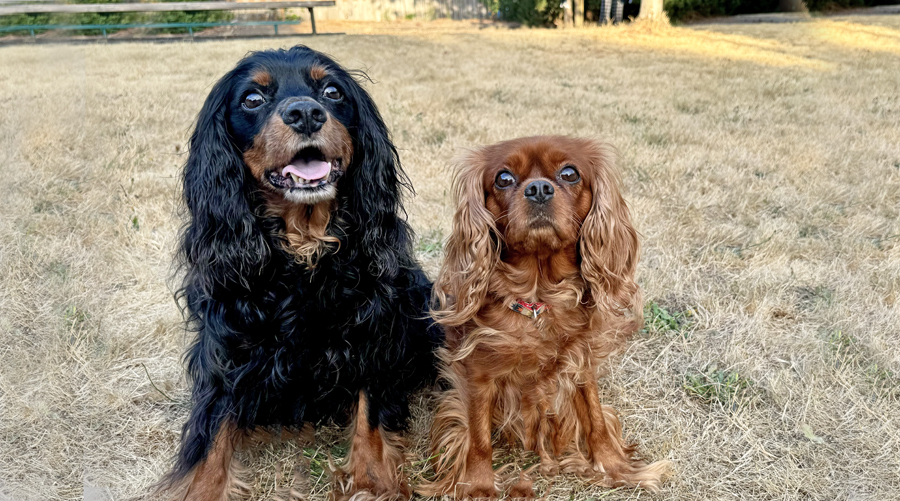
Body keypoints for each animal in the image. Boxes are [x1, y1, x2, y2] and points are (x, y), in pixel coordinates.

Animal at [418, 136, 664, 496]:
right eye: (503, 178)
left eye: (570, 173)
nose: (538, 189)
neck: (538, 296)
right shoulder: (478, 373)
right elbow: (478, 436)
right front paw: (478, 487)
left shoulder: (581, 361)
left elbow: (595, 419)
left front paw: (615, 468)